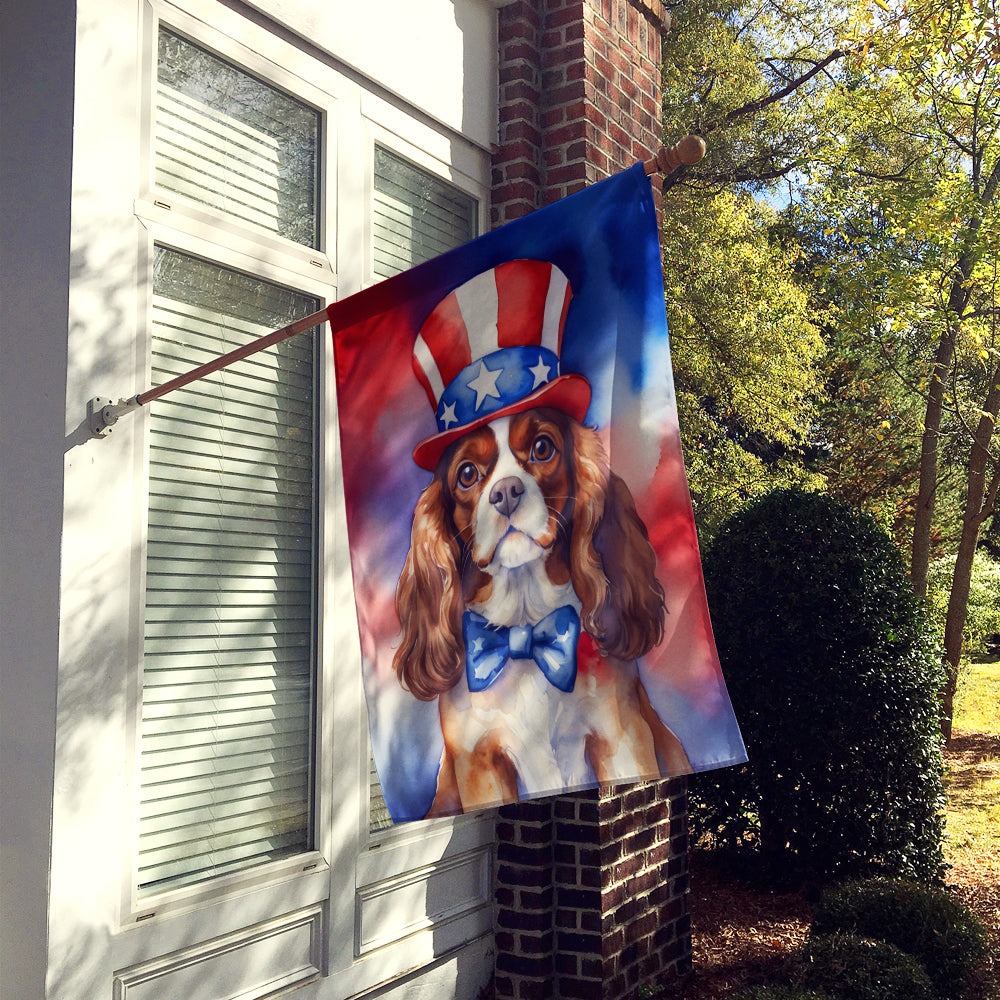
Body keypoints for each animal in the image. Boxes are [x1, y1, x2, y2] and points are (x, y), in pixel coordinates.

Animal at [388, 402, 688, 816]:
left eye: (542, 448)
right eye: (467, 474)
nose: (506, 492)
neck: (525, 624)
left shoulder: (621, 736)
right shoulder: (479, 762)